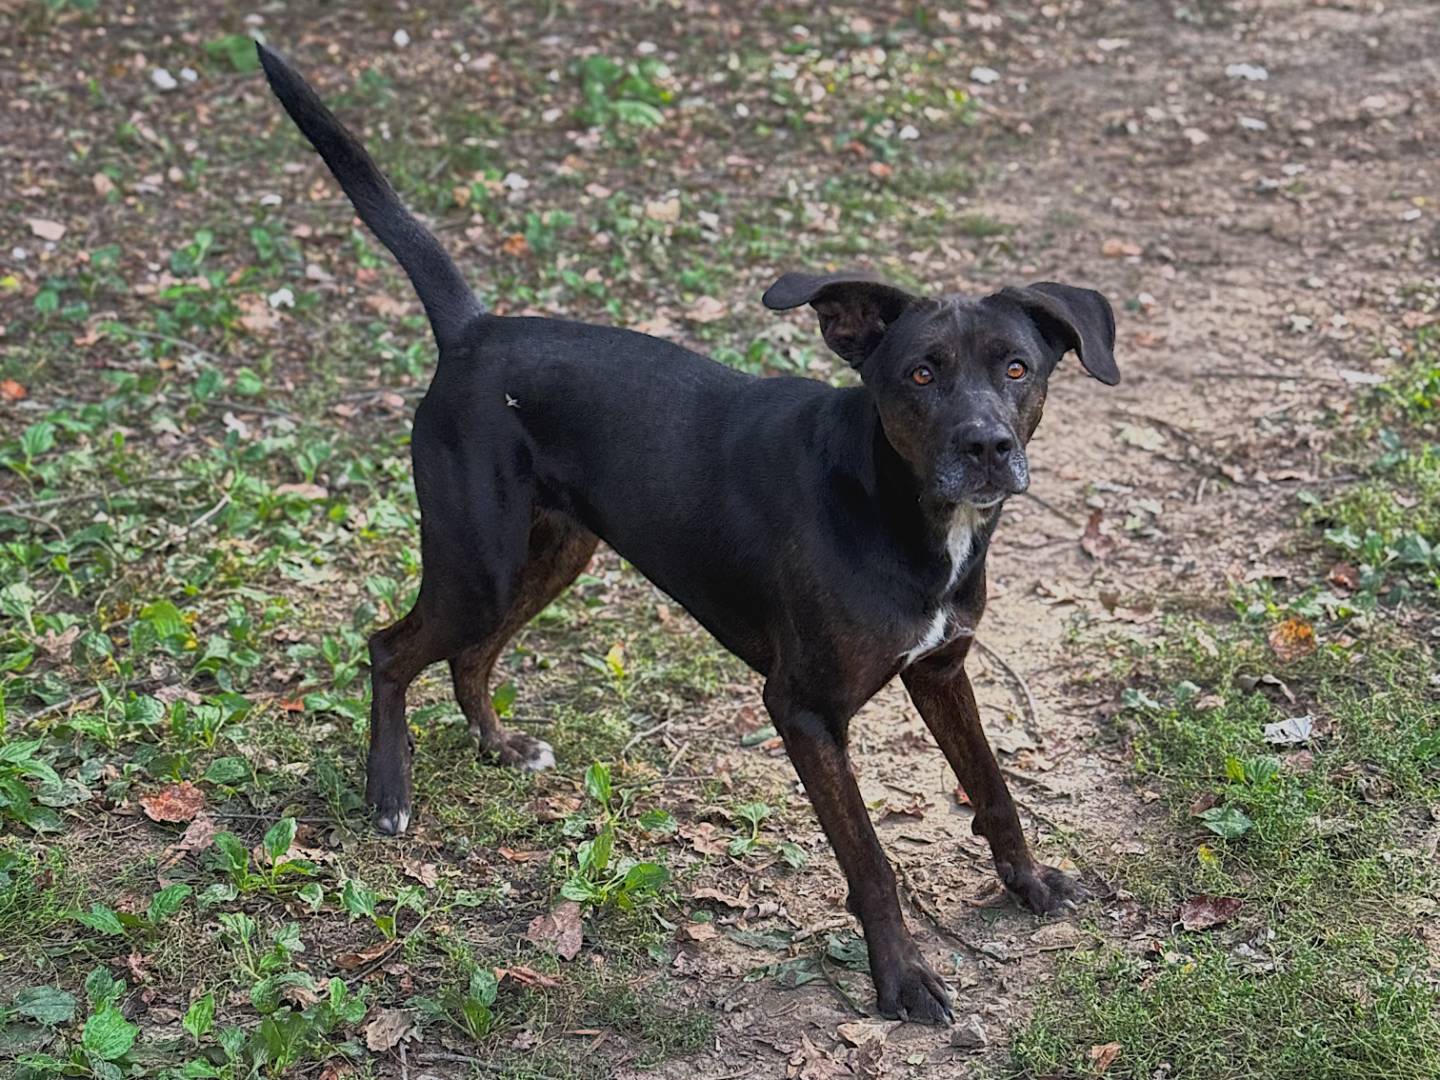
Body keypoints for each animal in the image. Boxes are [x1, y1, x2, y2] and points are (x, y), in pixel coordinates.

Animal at [256, 42, 1111, 1025]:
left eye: (1017, 367)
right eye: (922, 375)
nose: (987, 448)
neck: (896, 508)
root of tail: (474, 330)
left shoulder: (940, 669)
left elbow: (995, 787)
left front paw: (1029, 883)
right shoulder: (803, 709)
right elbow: (870, 861)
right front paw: (900, 978)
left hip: (554, 551)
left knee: (471, 654)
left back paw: (500, 747)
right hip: (479, 559)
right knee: (390, 648)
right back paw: (389, 794)